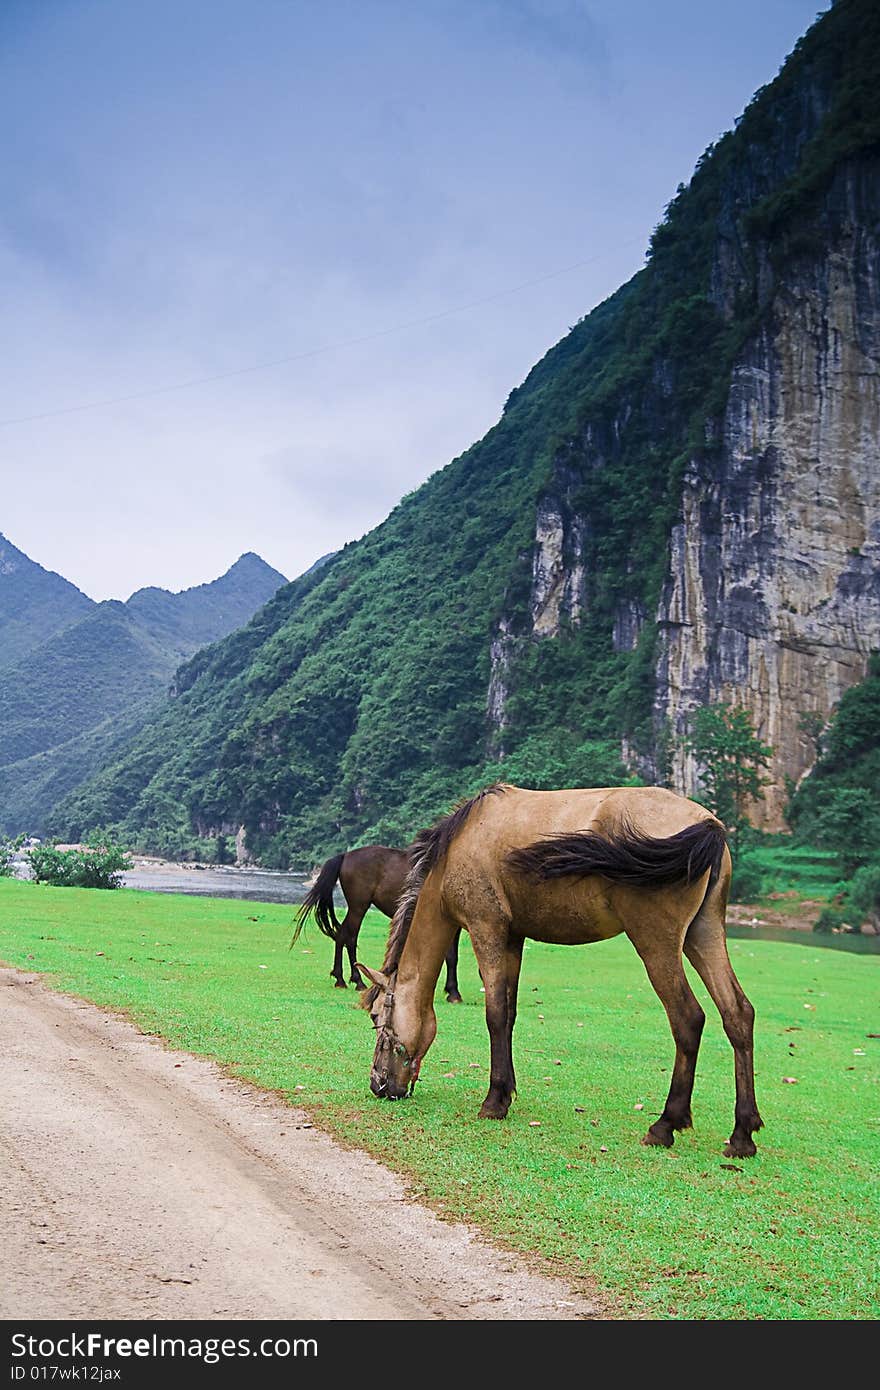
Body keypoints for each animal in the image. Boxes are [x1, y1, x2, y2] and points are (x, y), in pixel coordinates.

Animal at [290, 839, 467, 1006]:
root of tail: (346, 855)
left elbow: (452, 957)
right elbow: (450, 956)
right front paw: (454, 993)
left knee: (343, 936)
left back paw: (342, 978)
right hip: (358, 907)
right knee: (349, 937)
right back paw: (355, 980)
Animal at [355, 783, 761, 1162]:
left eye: (376, 1018)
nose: (378, 1084)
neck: (459, 846)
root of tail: (708, 823)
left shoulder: (487, 931)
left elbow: (495, 1015)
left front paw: (493, 1101)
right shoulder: (513, 939)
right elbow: (509, 1015)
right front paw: (506, 1093)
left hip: (656, 943)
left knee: (688, 1019)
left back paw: (665, 1125)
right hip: (703, 934)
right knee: (737, 1014)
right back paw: (742, 1134)